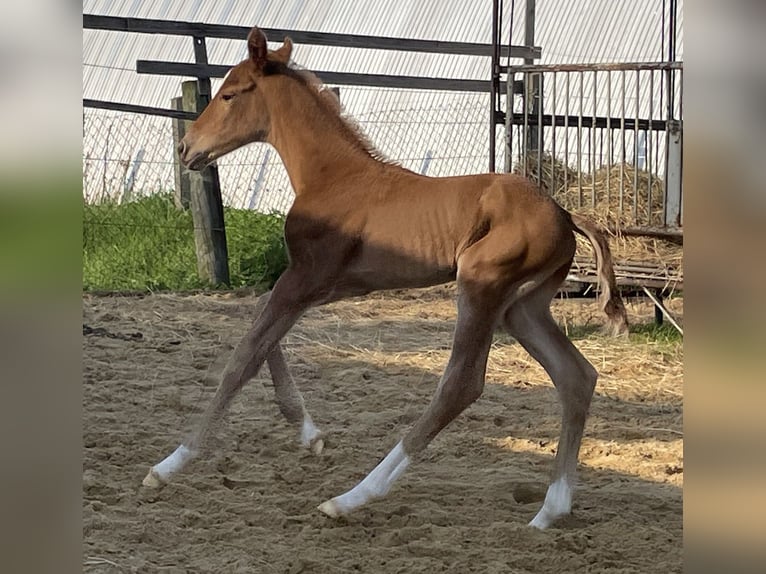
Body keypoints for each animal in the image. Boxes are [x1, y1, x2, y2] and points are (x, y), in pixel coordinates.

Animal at [146, 27, 632, 532]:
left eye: (229, 94)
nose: (186, 149)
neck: (334, 177)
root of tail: (564, 213)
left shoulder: (304, 277)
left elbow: (244, 356)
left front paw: (169, 465)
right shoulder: (325, 285)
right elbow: (262, 338)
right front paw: (309, 434)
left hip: (481, 286)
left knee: (461, 385)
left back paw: (350, 497)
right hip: (523, 307)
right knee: (576, 377)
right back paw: (550, 509)